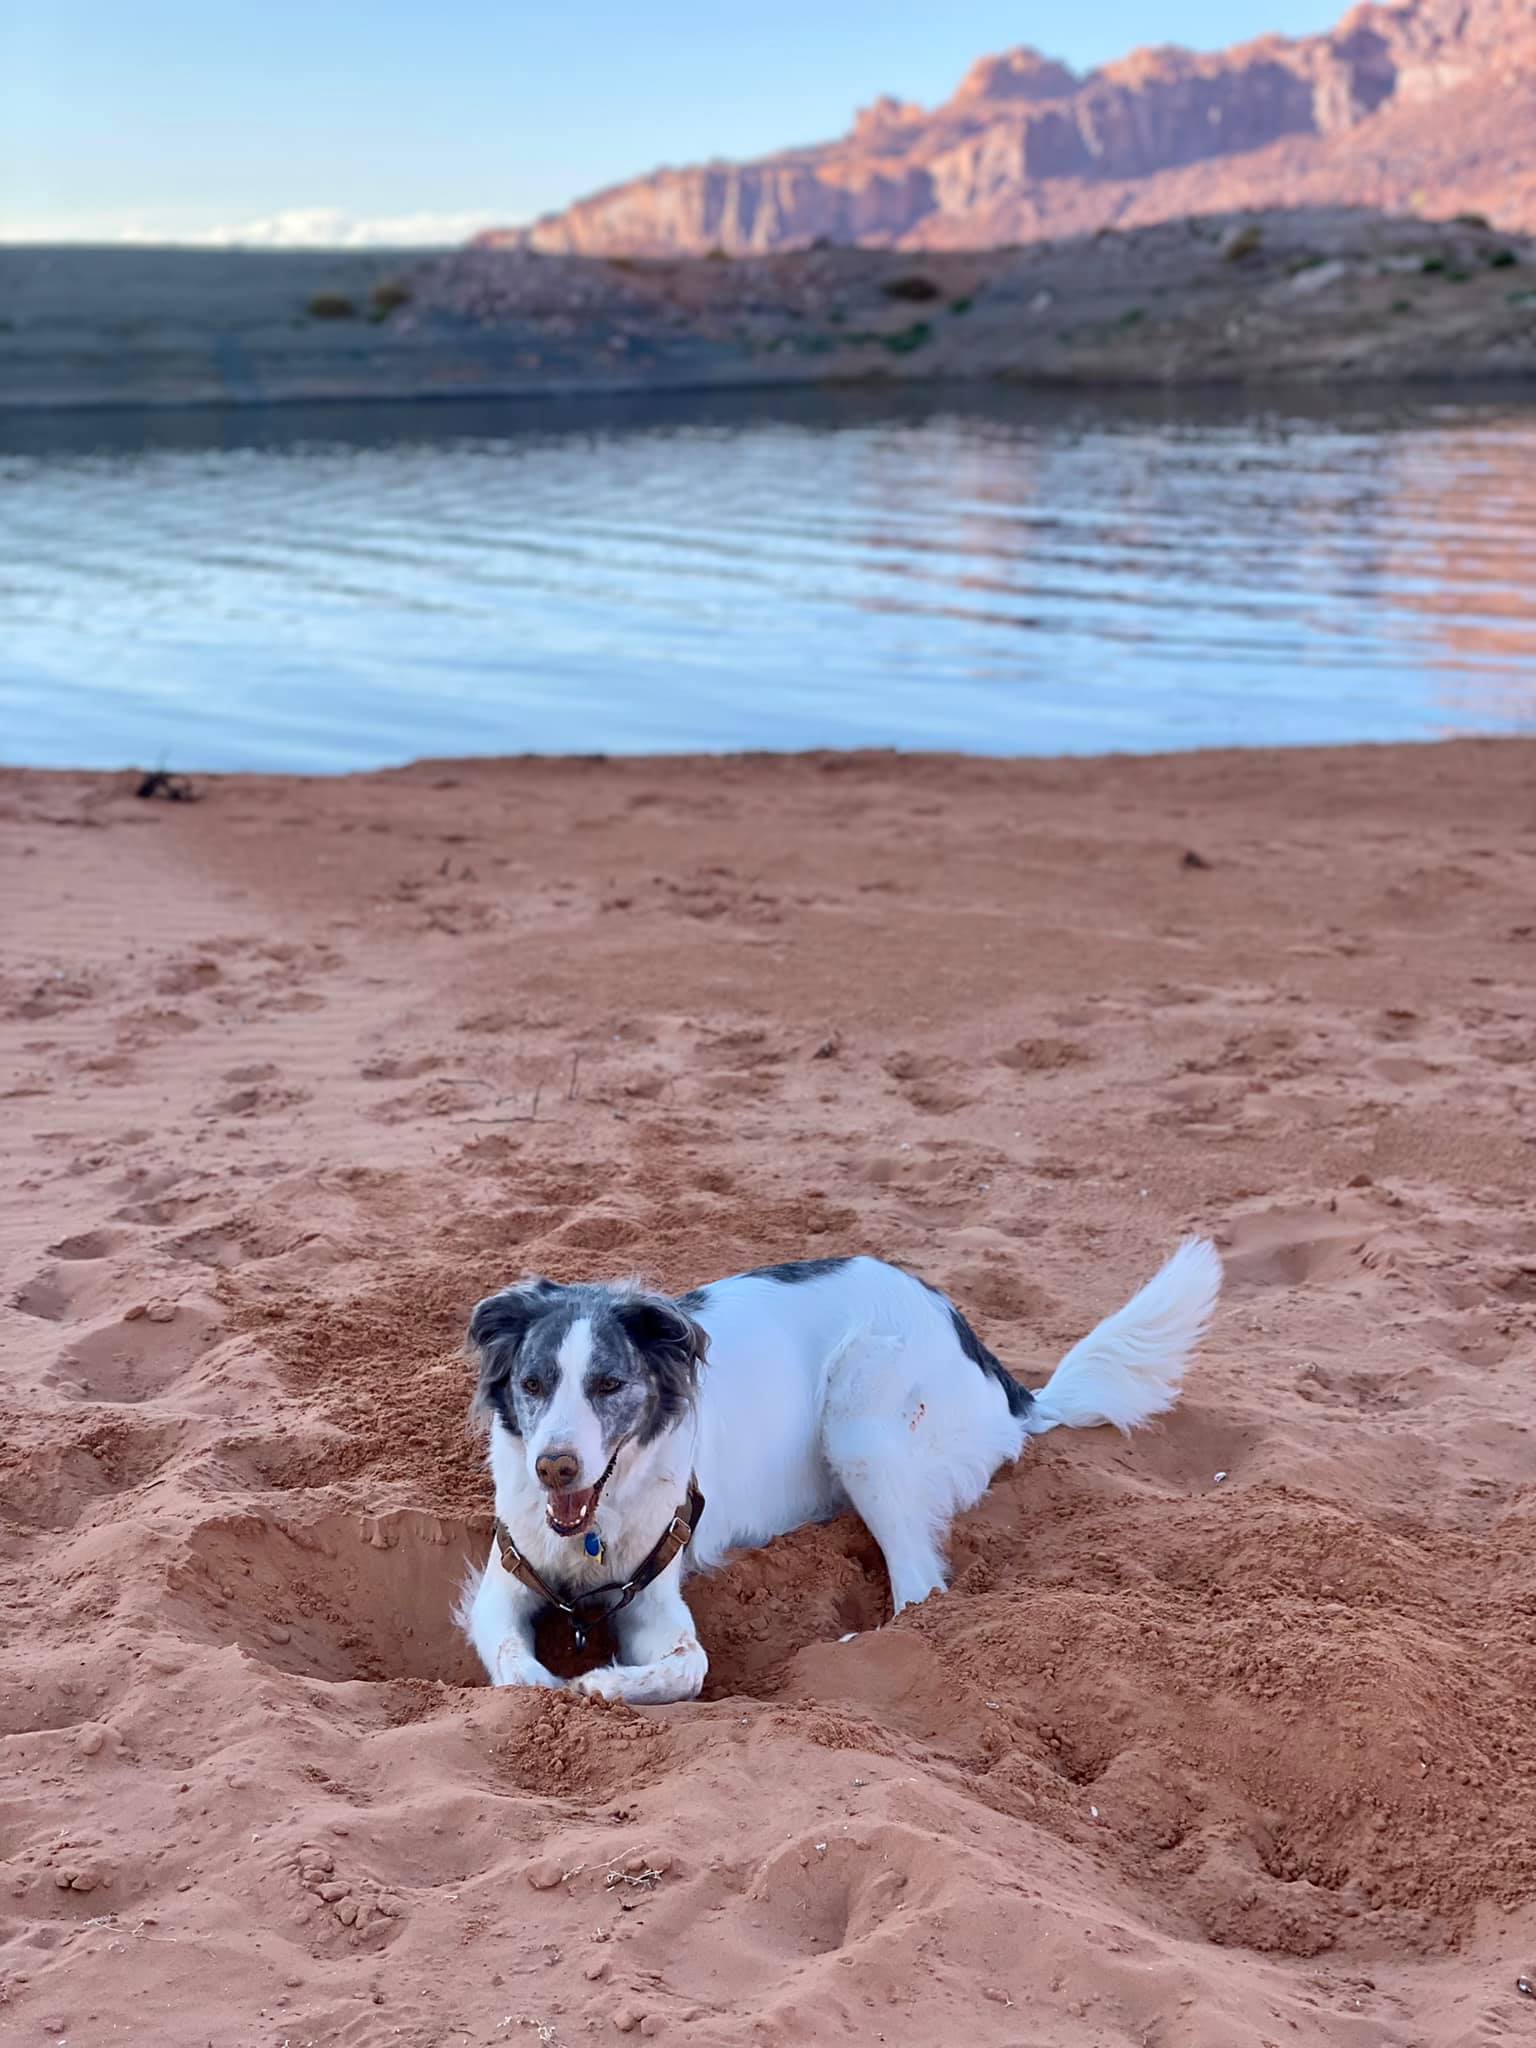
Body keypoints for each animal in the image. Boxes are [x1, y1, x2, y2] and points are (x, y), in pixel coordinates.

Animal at [459, 1239, 1221, 1704]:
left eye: (610, 1385)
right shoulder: (504, 1584)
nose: (554, 1468)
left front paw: (608, 1684)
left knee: (921, 1591)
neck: (593, 1534)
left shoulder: (655, 1595)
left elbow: (689, 1663)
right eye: (533, 1384)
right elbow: (514, 1658)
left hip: (860, 1422)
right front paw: (548, 1681)